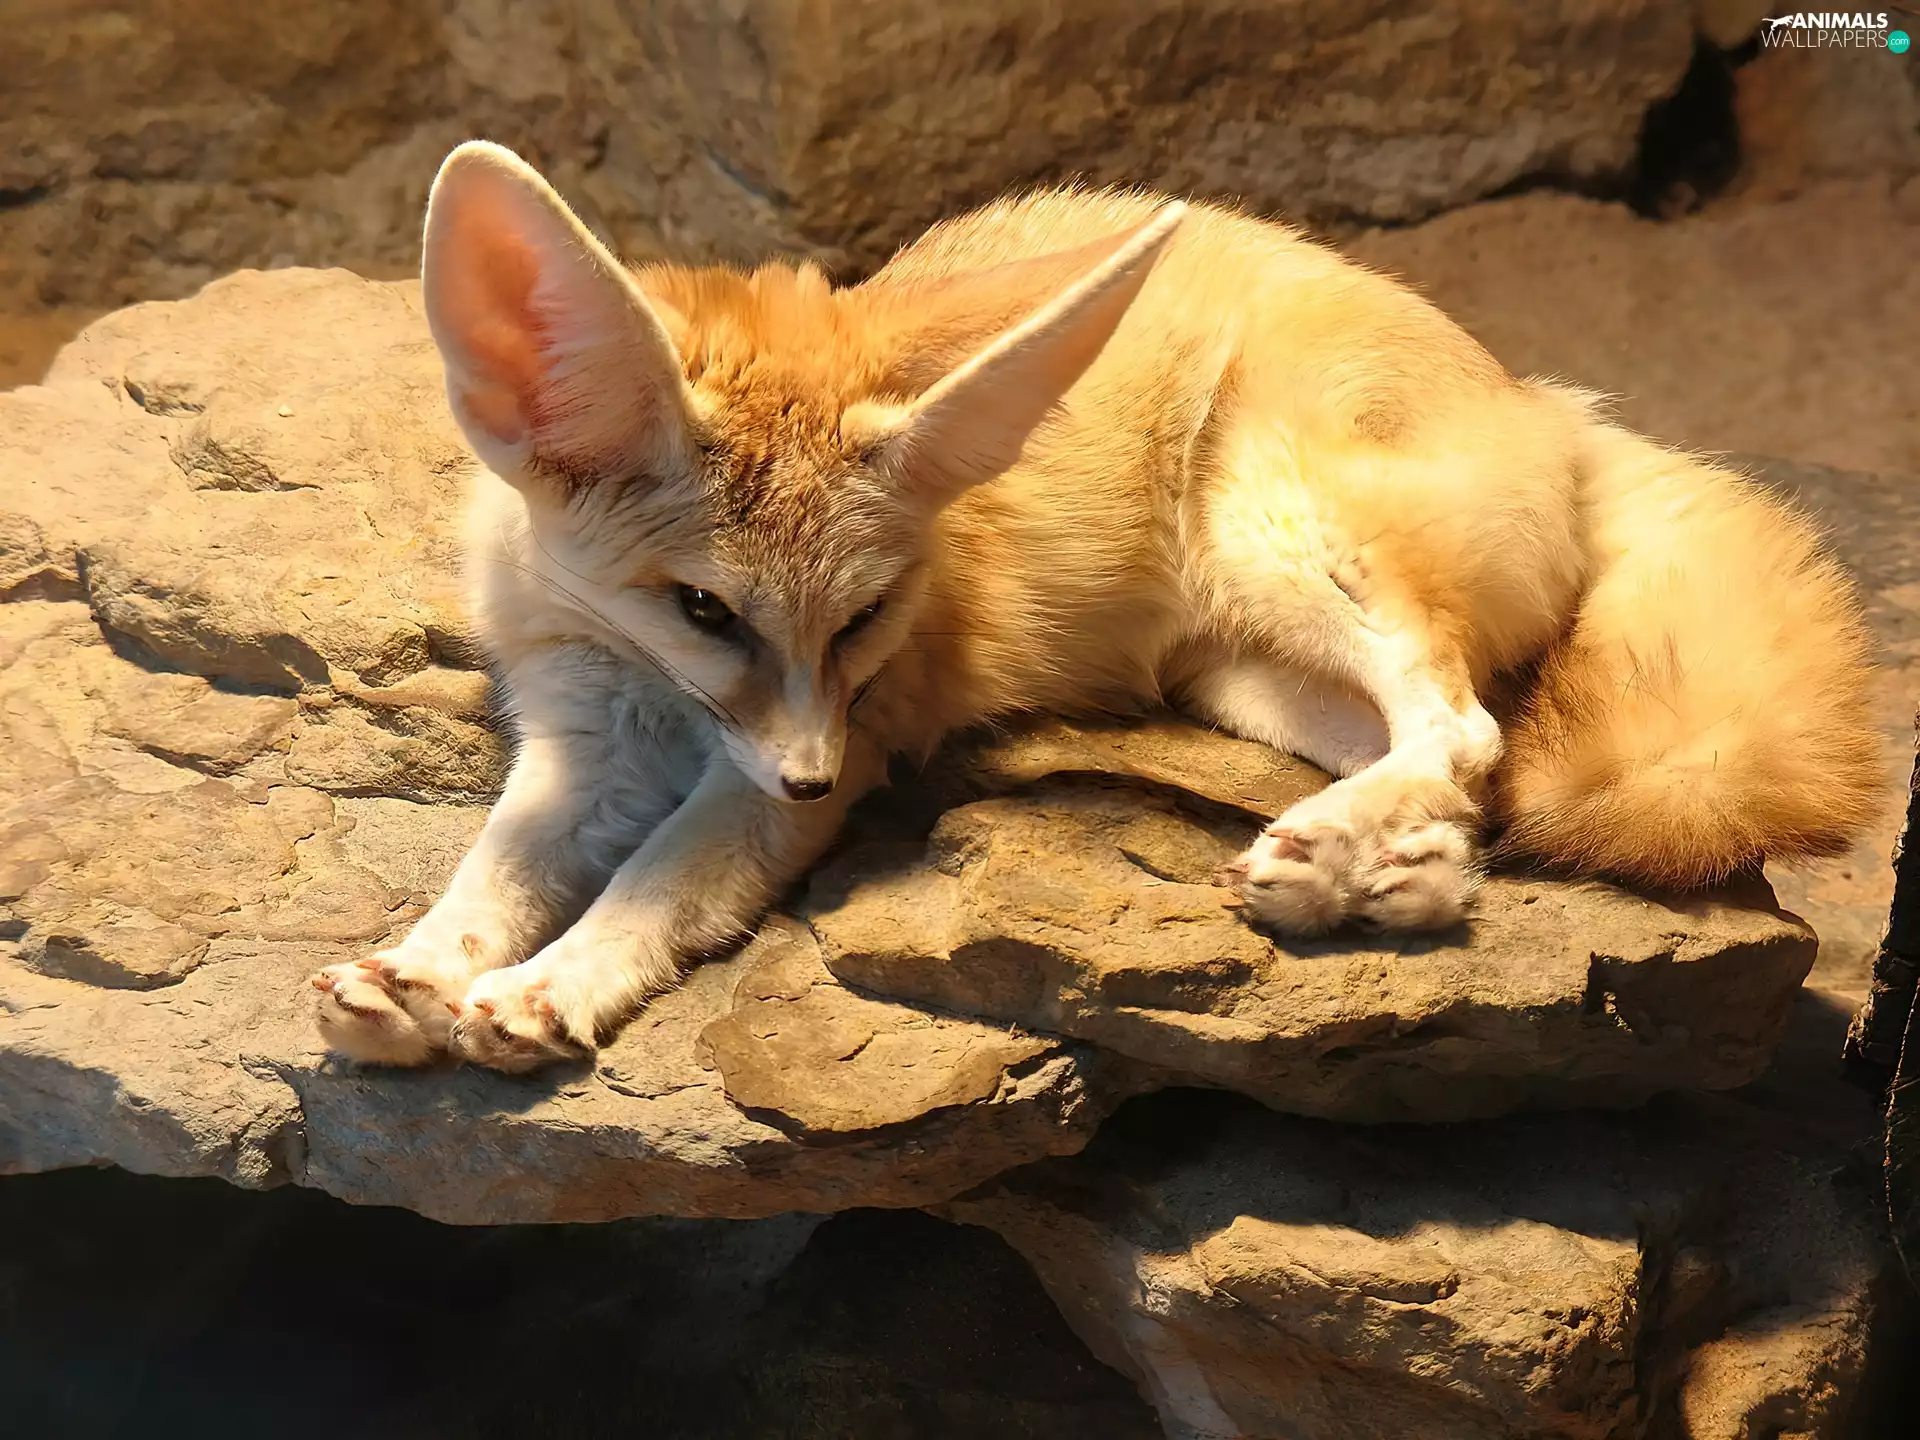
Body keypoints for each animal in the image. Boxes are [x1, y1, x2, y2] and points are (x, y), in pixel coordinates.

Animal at [312, 141, 1882, 1073]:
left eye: (866, 620)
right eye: (703, 609)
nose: (810, 772)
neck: (648, 693)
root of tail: (1552, 403)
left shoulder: (816, 759)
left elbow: (654, 879)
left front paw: (551, 984)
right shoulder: (579, 744)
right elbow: (489, 873)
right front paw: (414, 968)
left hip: (1275, 540)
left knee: (1468, 734)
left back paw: (1340, 856)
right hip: (1238, 677)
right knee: (1471, 778)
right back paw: (1372, 875)